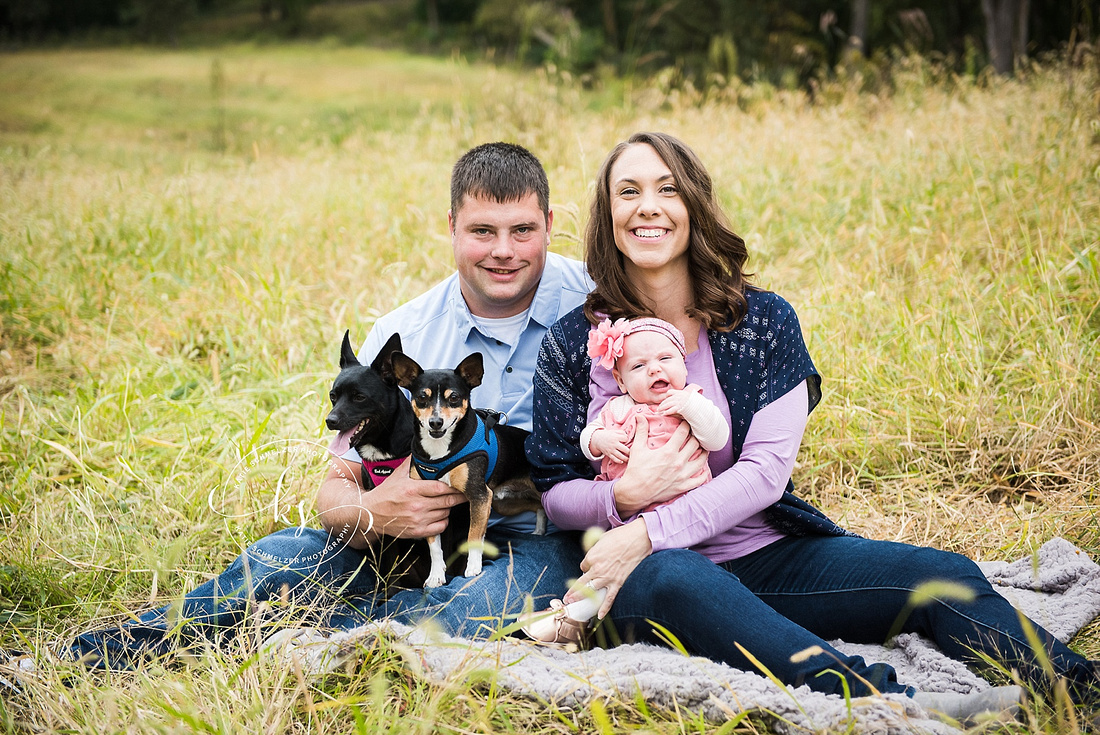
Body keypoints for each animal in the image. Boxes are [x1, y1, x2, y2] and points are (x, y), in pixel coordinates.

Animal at [391, 352, 545, 589]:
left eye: (454, 397)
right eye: (422, 397)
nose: (436, 422)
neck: (439, 450)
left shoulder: (479, 496)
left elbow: (473, 536)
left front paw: (473, 568)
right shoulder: (428, 503)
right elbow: (434, 546)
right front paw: (436, 574)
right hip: (504, 503)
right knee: (538, 506)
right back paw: (539, 530)